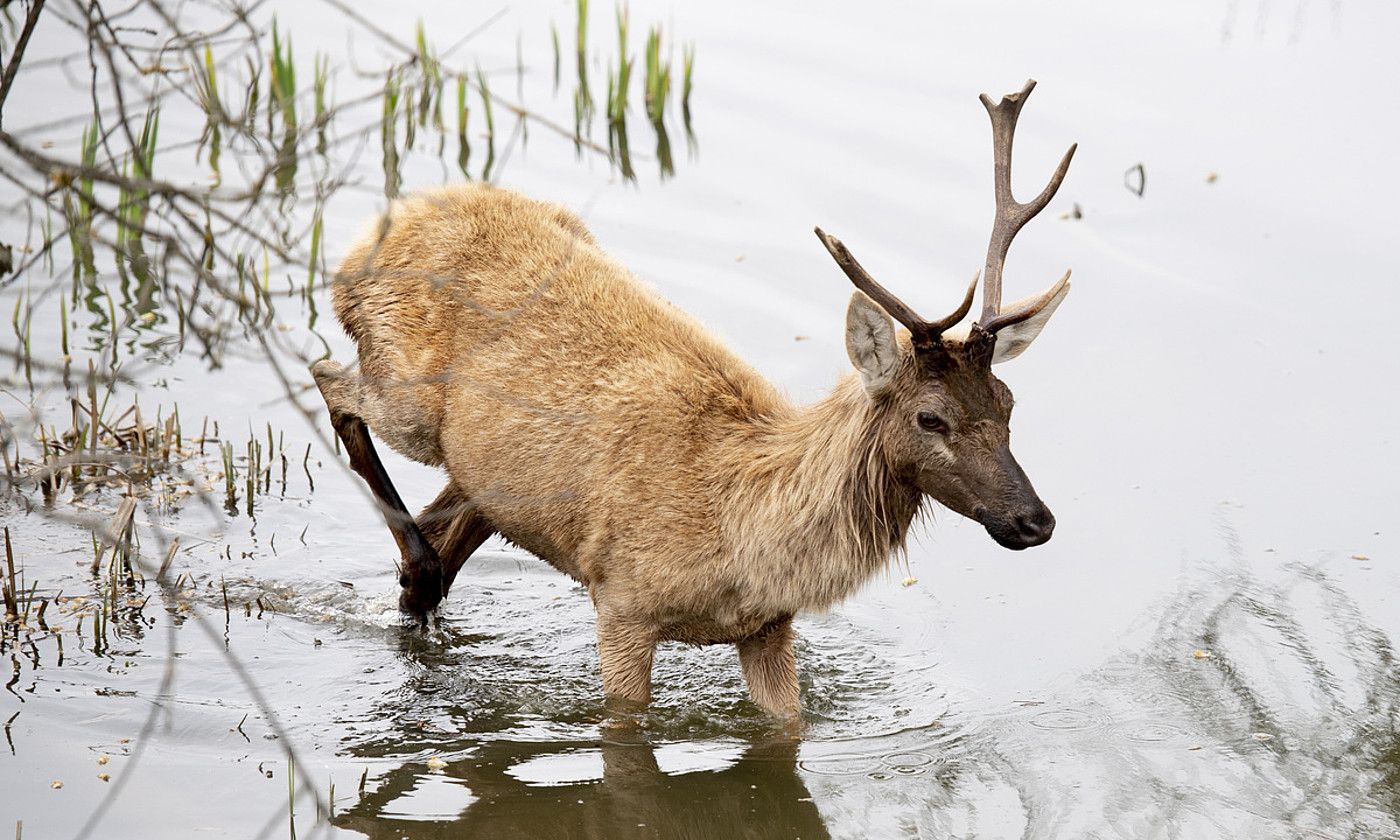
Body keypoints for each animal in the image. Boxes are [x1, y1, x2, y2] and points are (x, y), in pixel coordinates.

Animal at [312, 78, 1075, 714]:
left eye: (1009, 404)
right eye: (930, 417)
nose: (1036, 520)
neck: (743, 529)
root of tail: (368, 238)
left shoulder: (768, 630)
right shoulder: (620, 599)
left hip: (490, 473)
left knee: (449, 513)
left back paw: (419, 585)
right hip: (407, 396)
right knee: (330, 379)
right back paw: (417, 572)